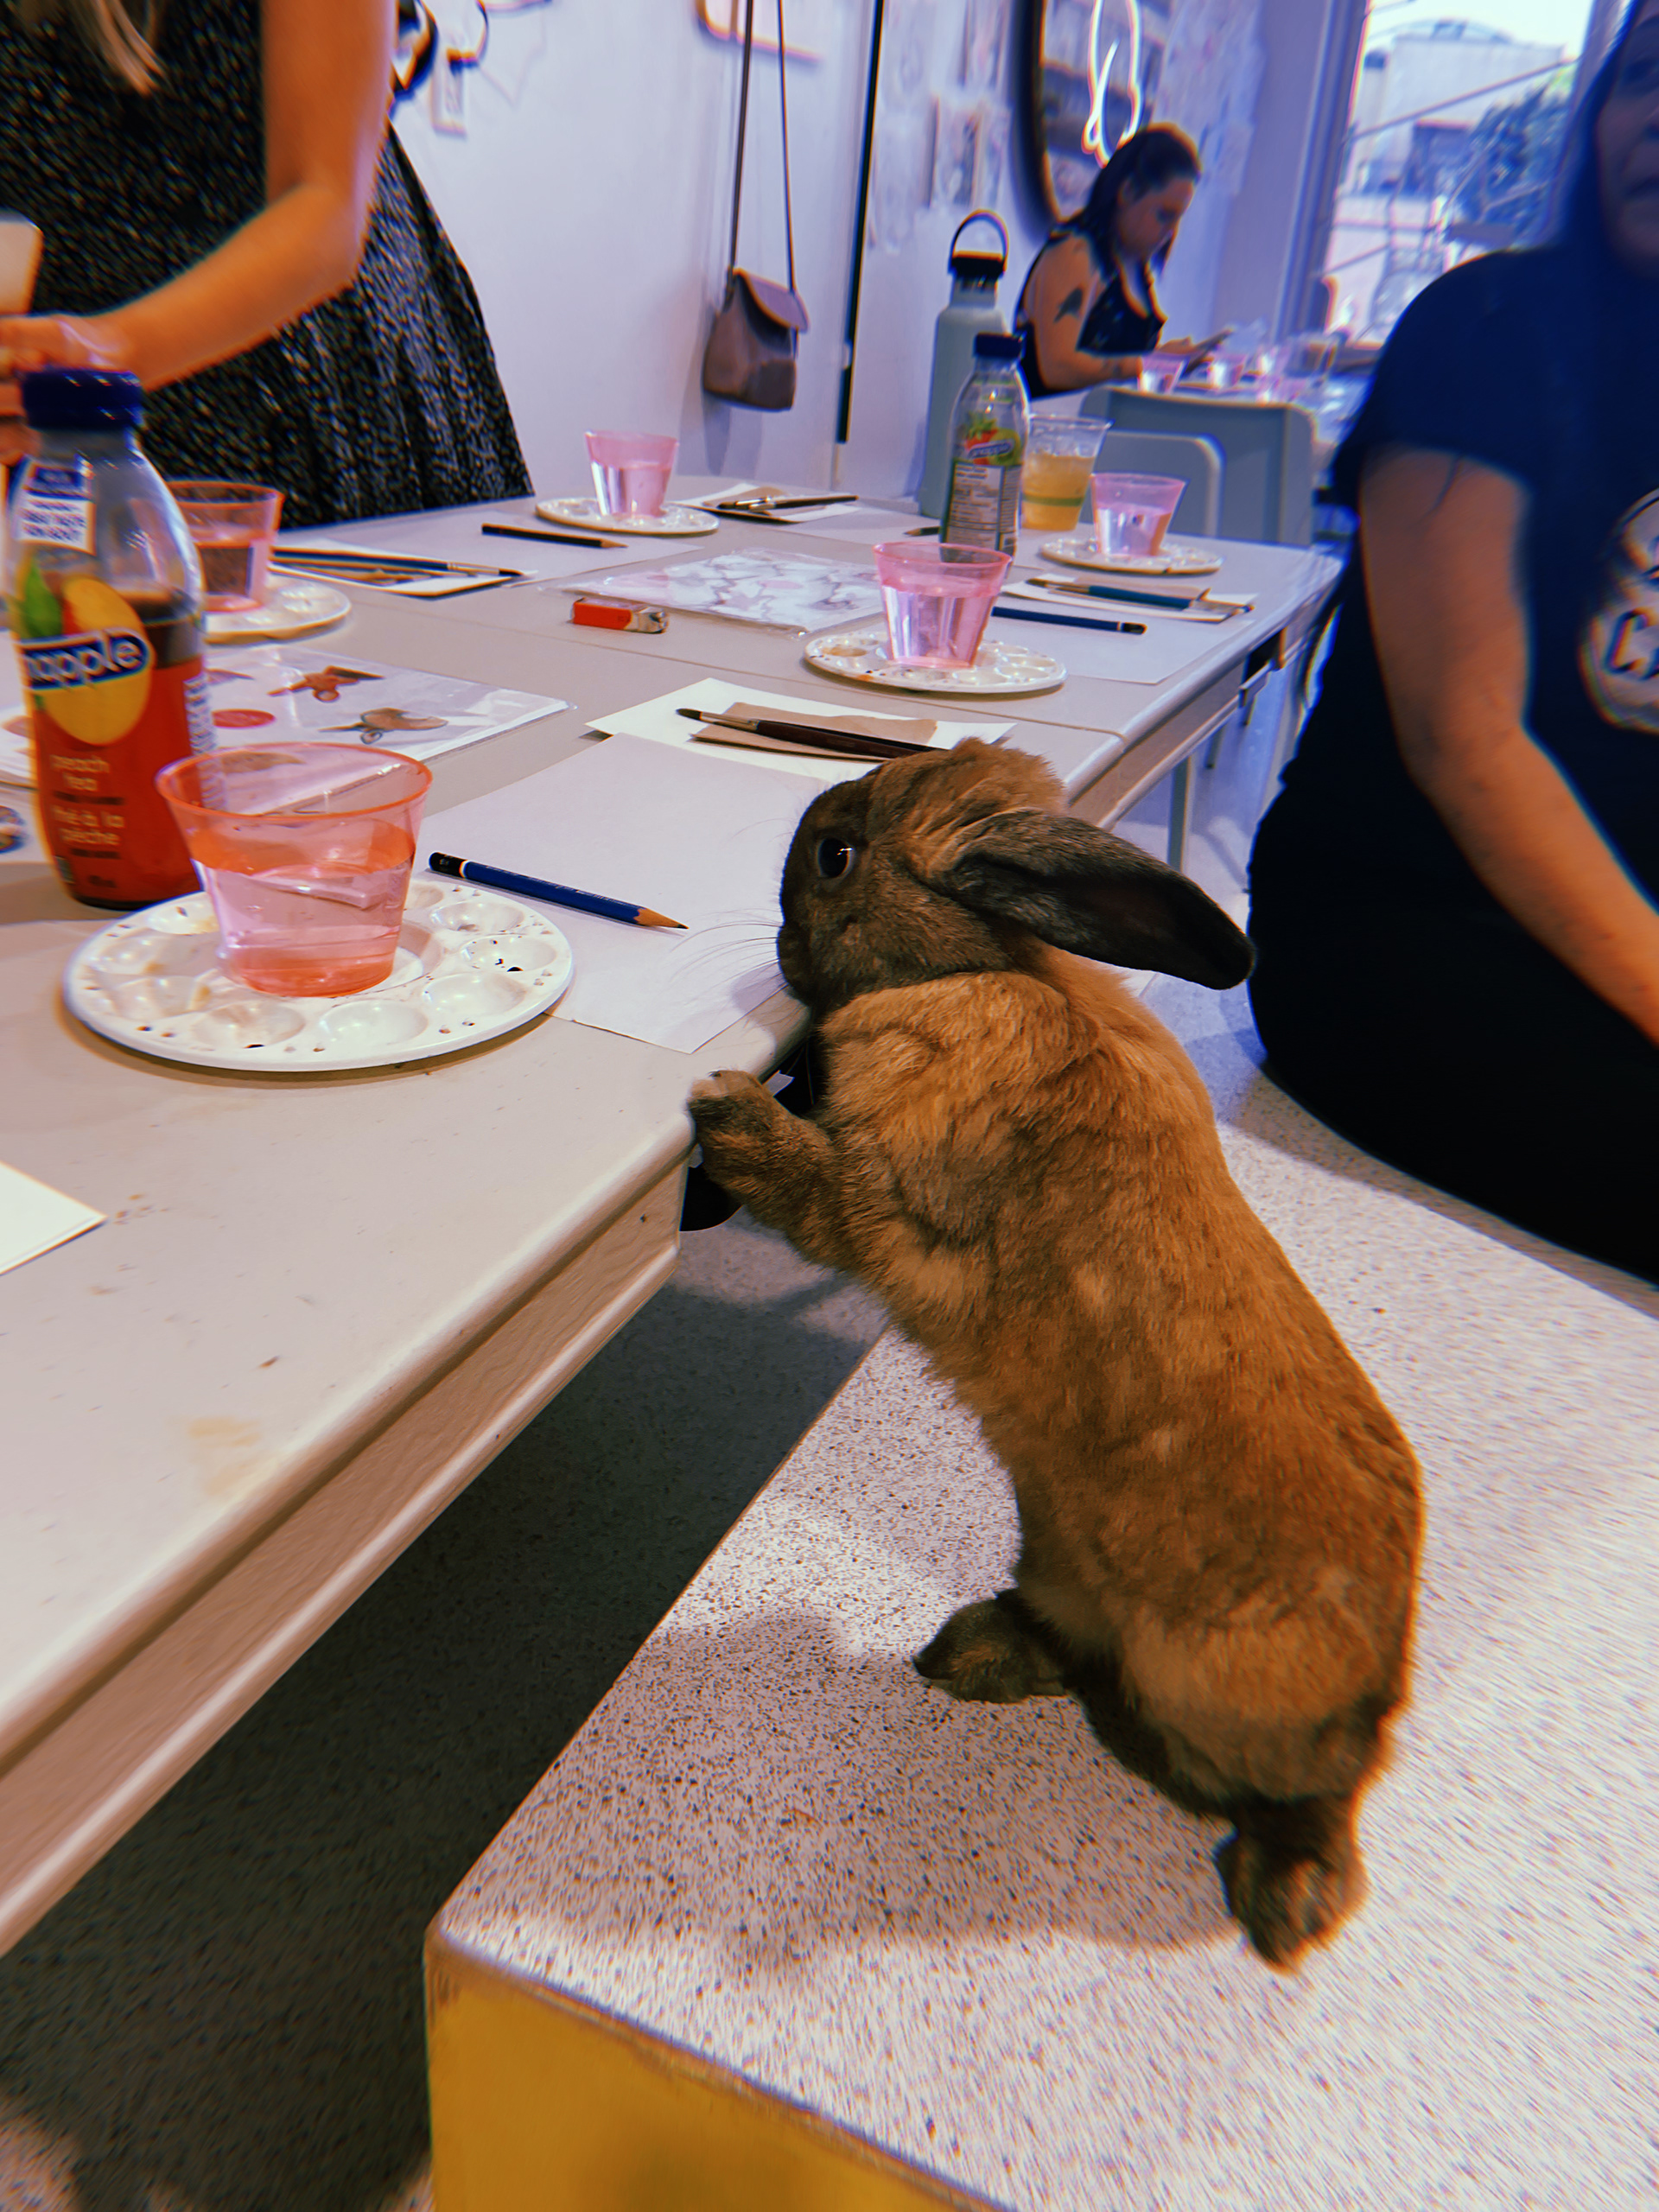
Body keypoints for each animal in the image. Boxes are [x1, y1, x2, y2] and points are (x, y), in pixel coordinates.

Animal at [689, 739, 1421, 1968]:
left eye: (836, 855)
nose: (777, 932)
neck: (989, 966)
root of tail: (1377, 1687)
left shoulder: (881, 1210)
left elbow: (815, 1192)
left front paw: (730, 1114)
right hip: (1059, 1554)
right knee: (1074, 1646)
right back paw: (966, 1655)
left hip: (1230, 1697)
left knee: (1320, 1795)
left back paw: (1286, 1901)